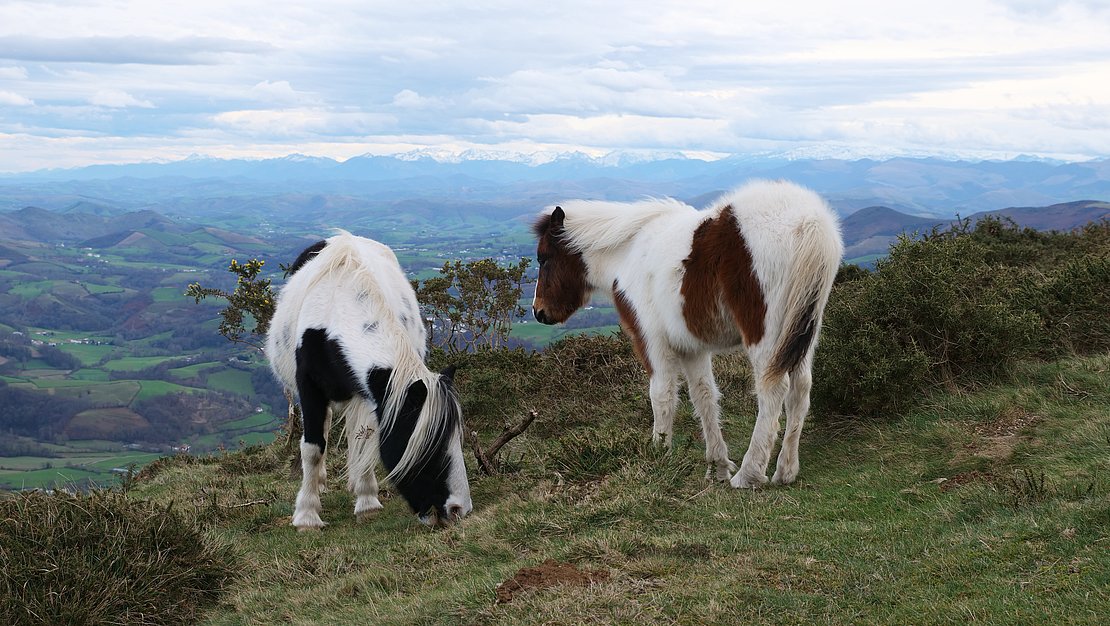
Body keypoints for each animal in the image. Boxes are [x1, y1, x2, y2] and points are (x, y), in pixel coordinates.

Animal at [270, 229, 475, 528]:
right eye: (430, 446)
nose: (460, 509)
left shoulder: (375, 395)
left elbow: (365, 441)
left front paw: (367, 501)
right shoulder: (309, 388)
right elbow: (313, 447)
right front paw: (307, 515)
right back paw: (318, 483)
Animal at [530, 178, 839, 486]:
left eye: (543, 258)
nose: (538, 312)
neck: (627, 254)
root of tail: (808, 222)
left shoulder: (651, 341)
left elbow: (661, 394)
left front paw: (658, 455)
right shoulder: (692, 348)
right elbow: (704, 396)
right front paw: (717, 466)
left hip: (765, 334)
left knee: (773, 390)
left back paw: (749, 474)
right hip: (801, 333)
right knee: (800, 388)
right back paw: (785, 471)